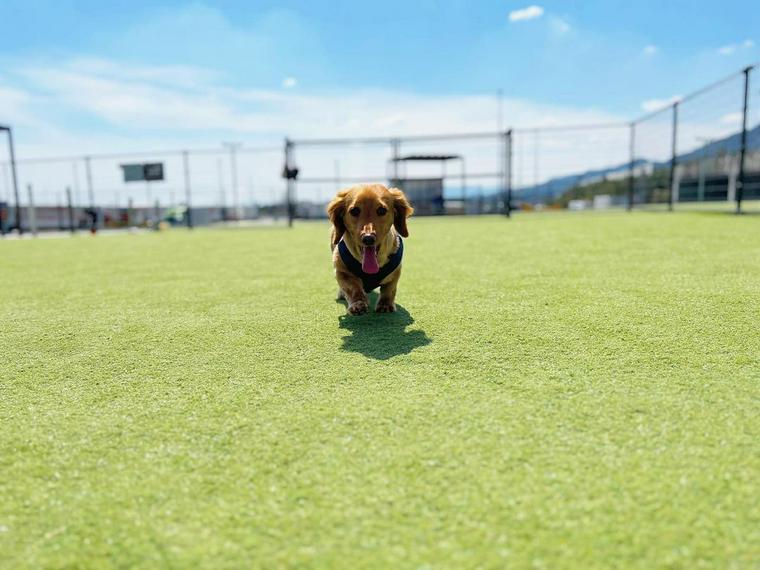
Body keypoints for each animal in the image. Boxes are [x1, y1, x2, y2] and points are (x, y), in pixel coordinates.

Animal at [326, 183, 412, 312]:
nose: (368, 238)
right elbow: (353, 288)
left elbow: (389, 289)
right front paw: (358, 303)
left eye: (381, 210)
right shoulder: (341, 271)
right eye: (354, 211)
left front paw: (385, 305)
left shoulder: (396, 272)